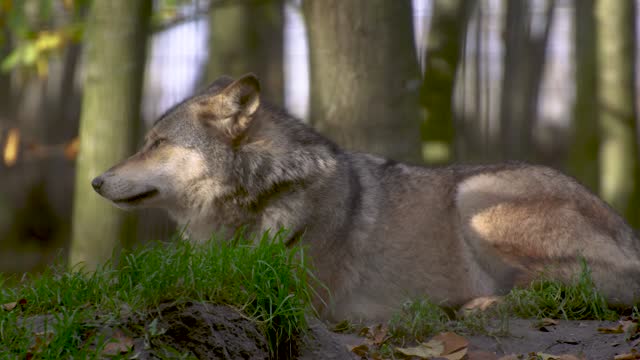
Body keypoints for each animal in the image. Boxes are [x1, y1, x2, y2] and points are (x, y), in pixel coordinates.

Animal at [92, 74, 640, 322]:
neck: (265, 195)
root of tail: (630, 233)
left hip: (474, 196)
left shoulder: (293, 295)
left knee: (569, 288)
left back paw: (476, 304)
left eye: (156, 143)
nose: (96, 181)